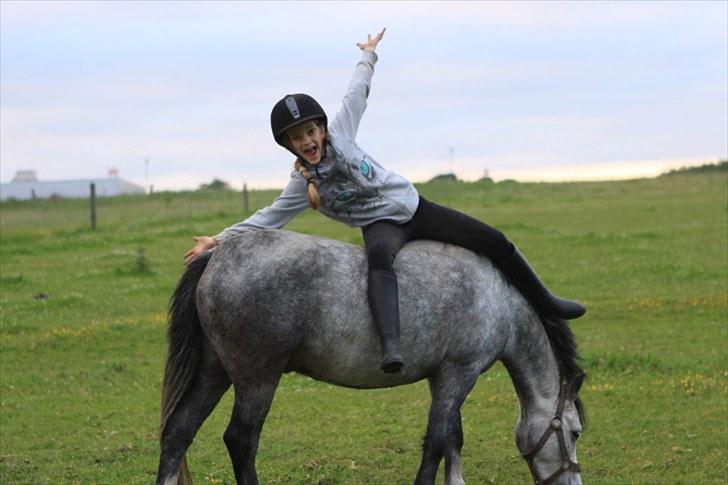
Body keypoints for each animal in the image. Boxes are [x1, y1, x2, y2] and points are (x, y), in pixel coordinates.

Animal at [156, 229, 586, 485]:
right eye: (576, 431)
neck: (496, 300)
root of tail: (217, 254)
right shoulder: (458, 374)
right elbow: (436, 442)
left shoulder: (443, 378)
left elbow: (452, 438)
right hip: (256, 379)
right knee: (241, 441)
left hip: (215, 371)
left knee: (178, 433)